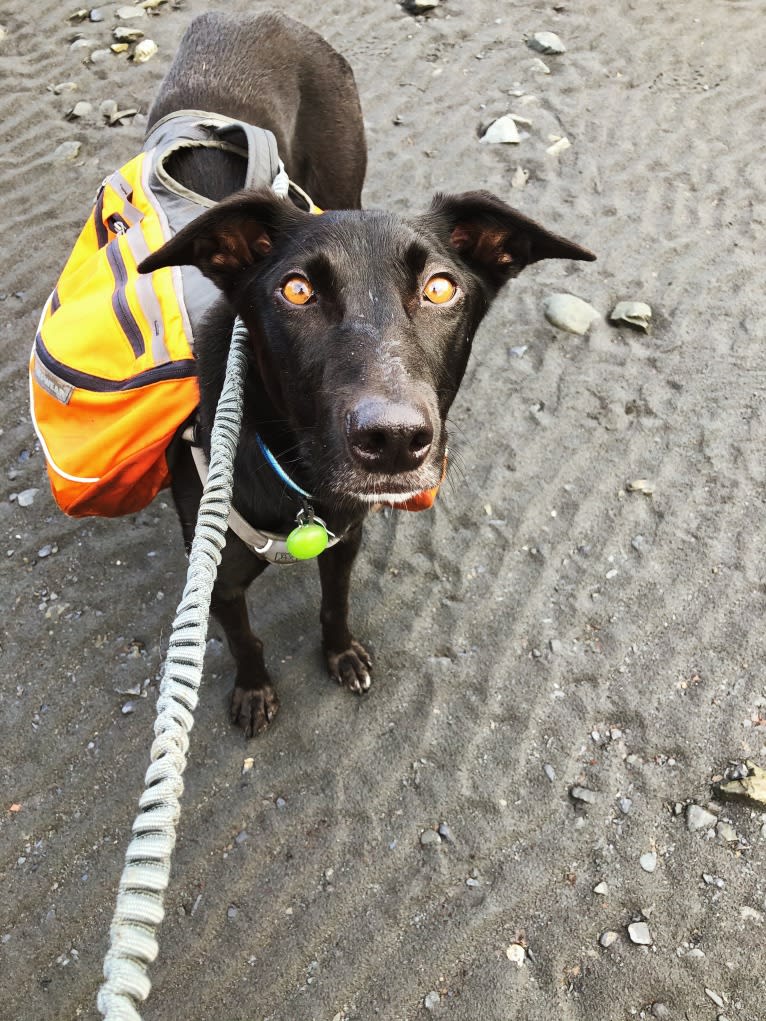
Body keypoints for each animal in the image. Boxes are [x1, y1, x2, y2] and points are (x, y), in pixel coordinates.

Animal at [139, 11, 592, 739]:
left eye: (440, 288)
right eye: (295, 291)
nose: (395, 441)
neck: (293, 480)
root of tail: (254, 15)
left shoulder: (345, 538)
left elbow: (335, 603)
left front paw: (342, 653)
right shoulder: (218, 577)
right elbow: (245, 639)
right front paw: (253, 689)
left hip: (339, 175)